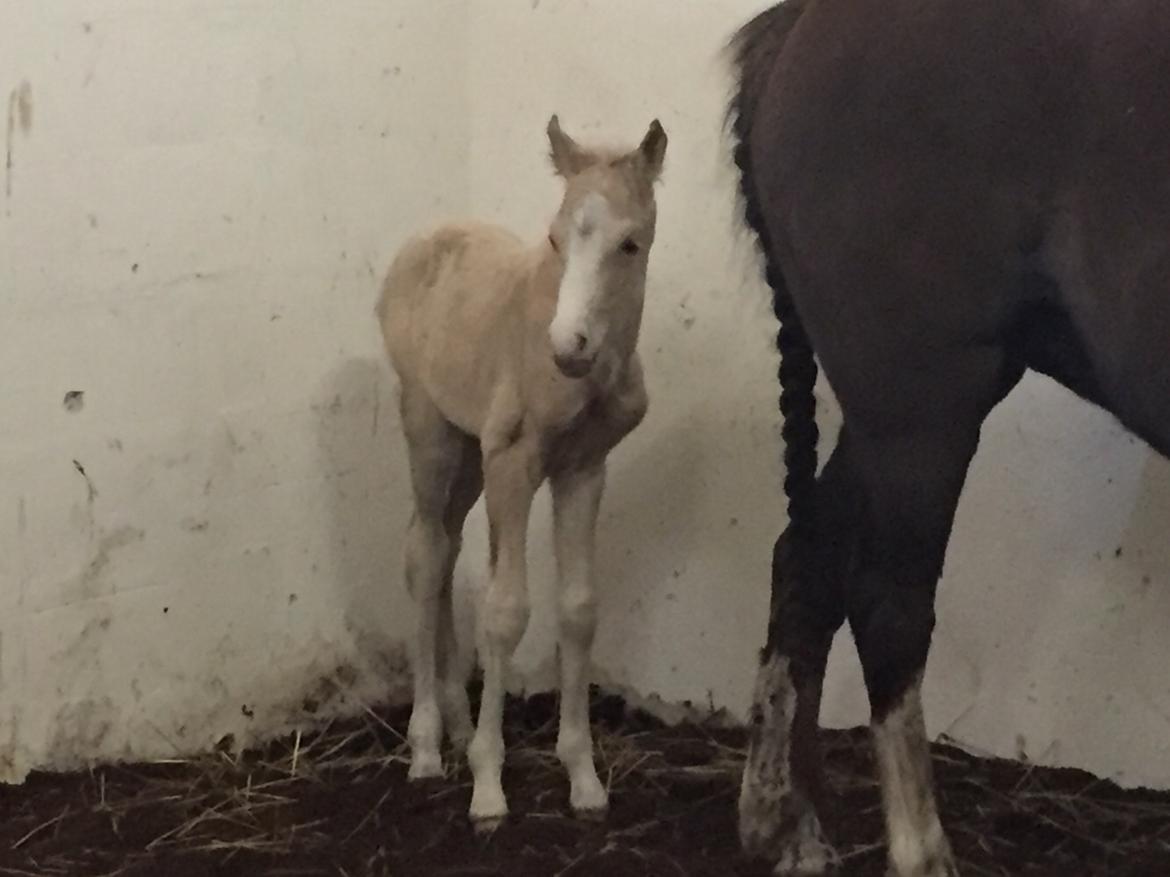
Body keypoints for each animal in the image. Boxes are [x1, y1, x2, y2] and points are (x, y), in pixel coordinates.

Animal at [376, 115, 667, 828]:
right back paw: (427, 748)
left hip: (468, 447)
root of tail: (422, 242)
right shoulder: (514, 460)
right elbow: (507, 610)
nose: (567, 347)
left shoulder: (584, 468)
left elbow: (579, 609)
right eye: (557, 238)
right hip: (429, 428)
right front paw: (488, 786)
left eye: (630, 243)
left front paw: (584, 779)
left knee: (447, 550)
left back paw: (456, 724)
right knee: (425, 555)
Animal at [725, 1, 1170, 874]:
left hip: (893, 414)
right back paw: (918, 848)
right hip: (923, 409)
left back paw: (785, 822)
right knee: (886, 605)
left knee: (807, 559)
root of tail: (801, 28)